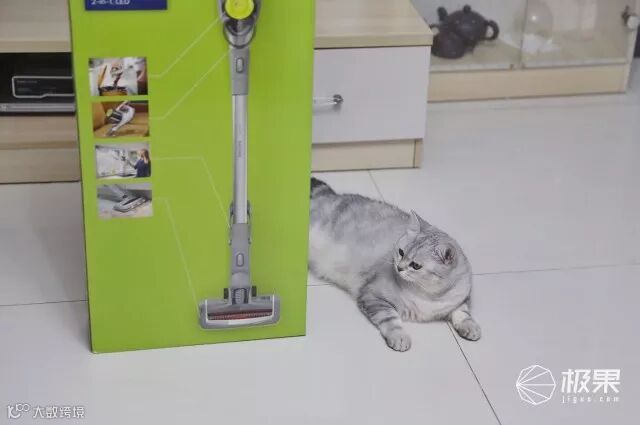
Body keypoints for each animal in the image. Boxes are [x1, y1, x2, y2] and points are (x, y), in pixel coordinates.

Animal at [309, 177, 481, 352]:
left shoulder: (461, 298)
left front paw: (470, 327)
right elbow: (391, 320)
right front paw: (399, 337)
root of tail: (332, 195)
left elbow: (463, 313)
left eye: (416, 265)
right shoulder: (374, 296)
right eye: (401, 252)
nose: (399, 267)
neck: (430, 296)